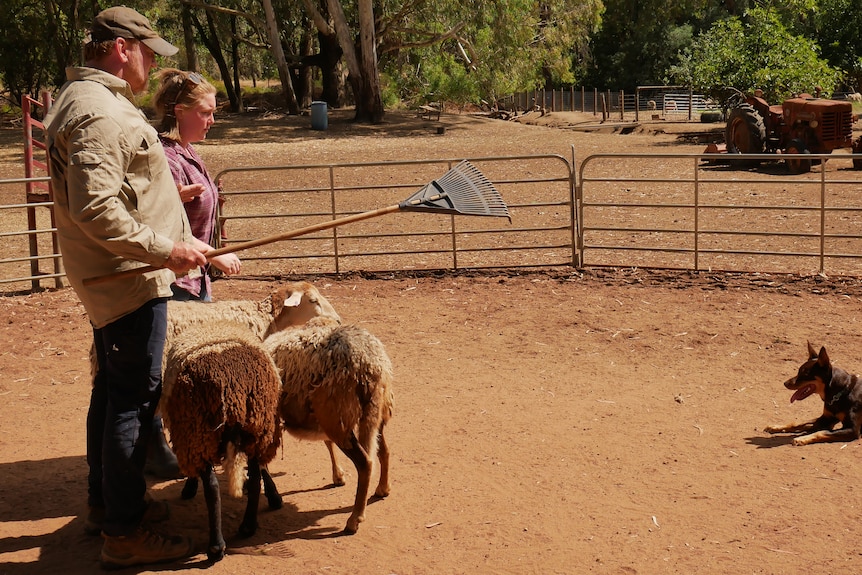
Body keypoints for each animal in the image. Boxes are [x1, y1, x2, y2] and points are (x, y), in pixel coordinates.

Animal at [160, 322, 282, 564]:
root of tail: (234, 389)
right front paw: (273, 495)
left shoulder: (190, 439)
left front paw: (189, 486)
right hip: (259, 427)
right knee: (255, 478)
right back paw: (248, 526)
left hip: (199, 432)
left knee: (212, 488)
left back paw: (216, 547)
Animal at [264, 284, 394, 536]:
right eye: (314, 300)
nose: (336, 318)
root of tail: (369, 363)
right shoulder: (315, 411)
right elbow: (326, 442)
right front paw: (338, 475)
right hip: (373, 411)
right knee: (383, 451)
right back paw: (383, 489)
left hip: (338, 414)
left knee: (365, 463)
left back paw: (355, 518)